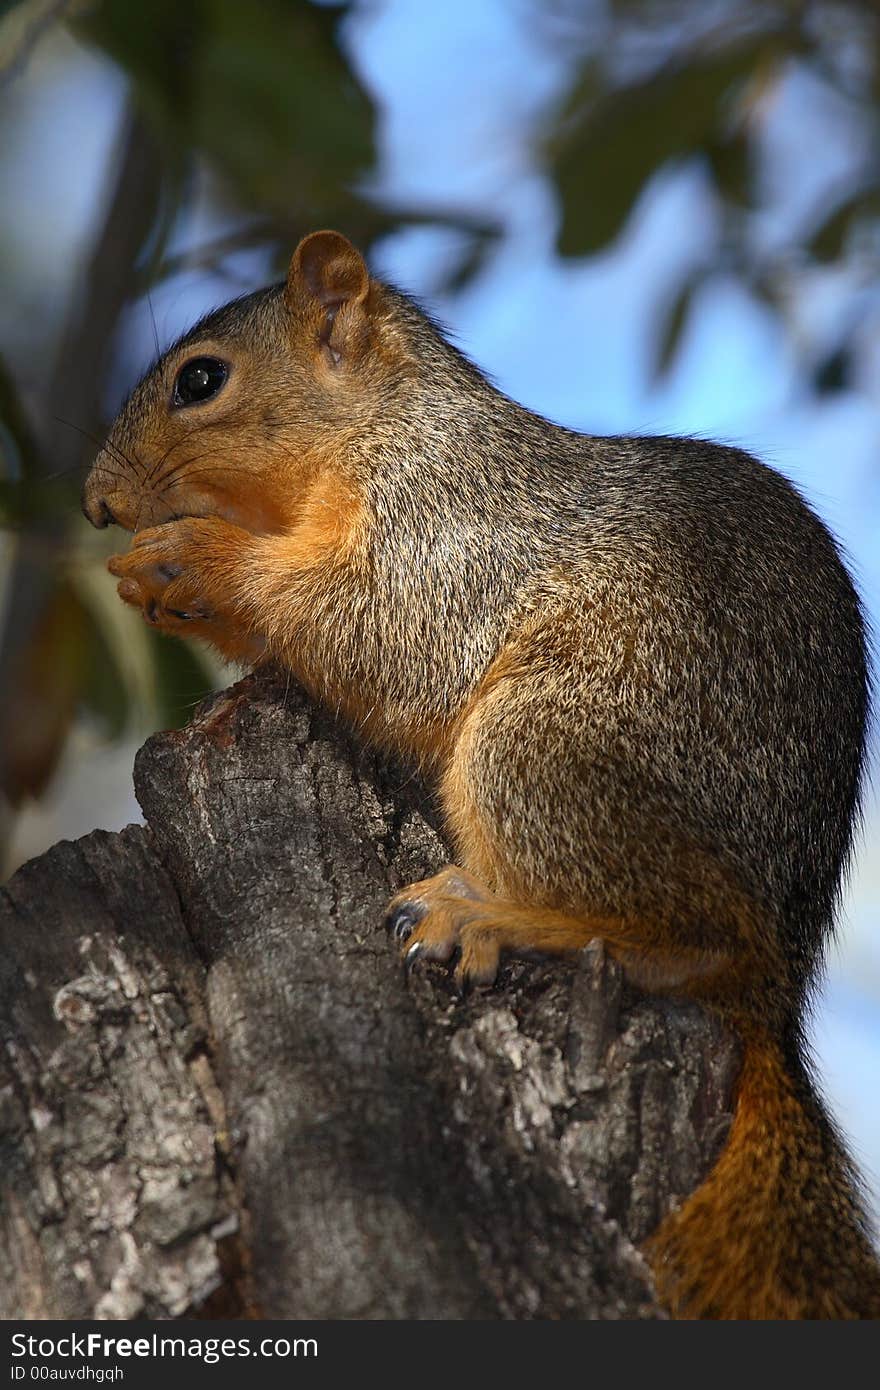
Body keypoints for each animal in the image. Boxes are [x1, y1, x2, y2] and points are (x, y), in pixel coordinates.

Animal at [82, 225, 878, 1312]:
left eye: (200, 379)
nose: (96, 502)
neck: (381, 428)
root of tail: (780, 981)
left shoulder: (448, 531)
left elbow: (386, 633)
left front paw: (197, 558)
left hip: (538, 745)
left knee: (693, 936)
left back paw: (492, 915)